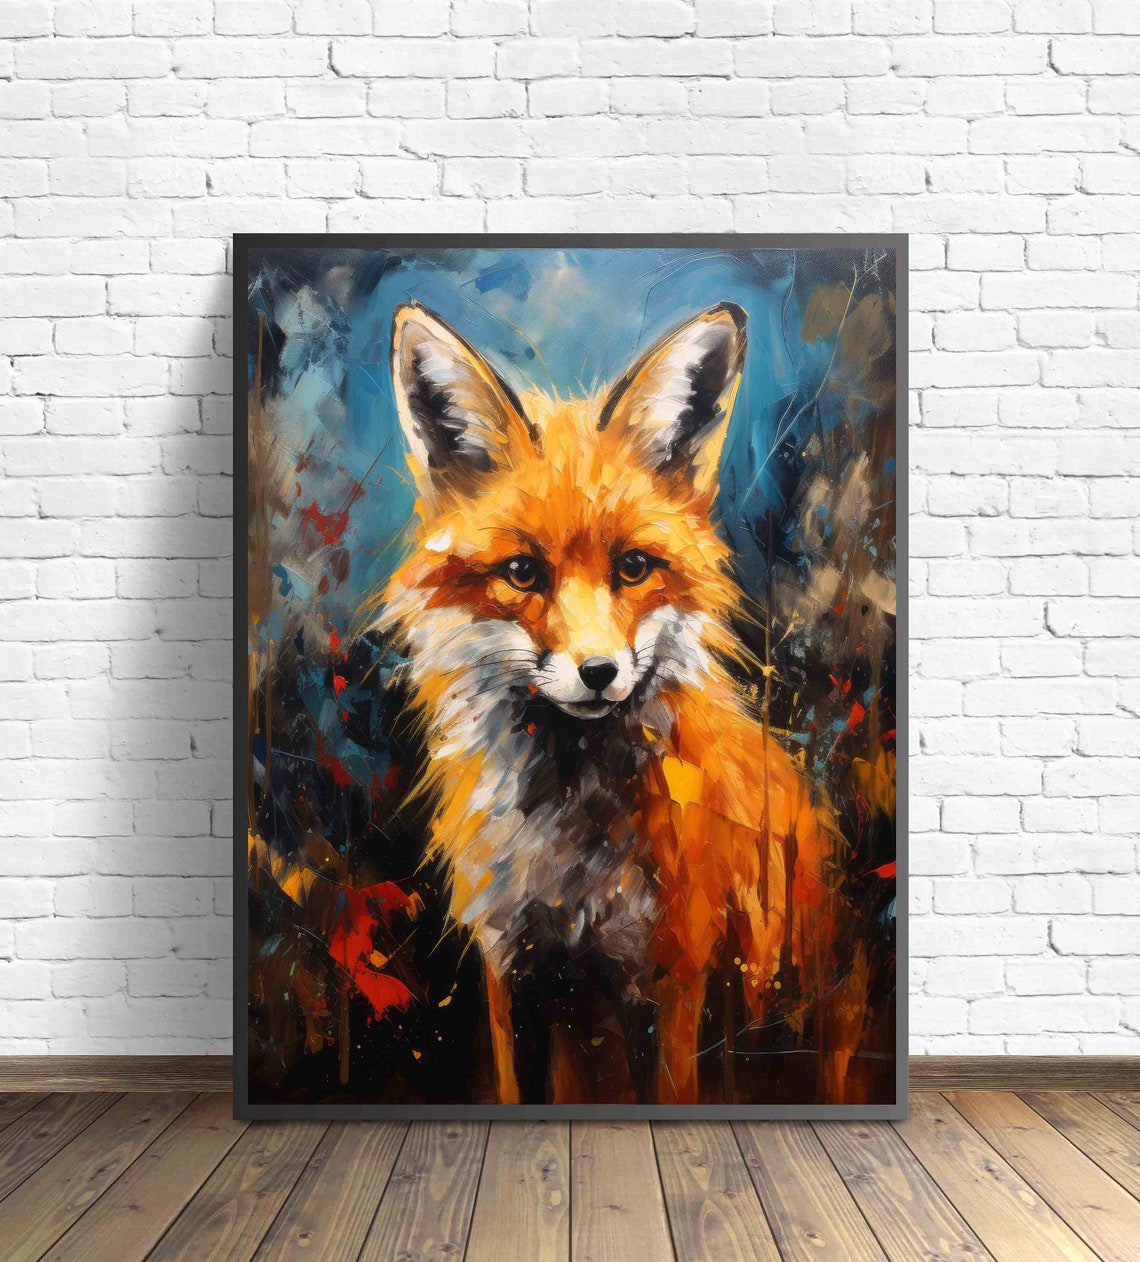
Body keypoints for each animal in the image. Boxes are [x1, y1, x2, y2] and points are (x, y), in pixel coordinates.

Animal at [373, 298, 866, 1105]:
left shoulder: (674, 977)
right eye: (522, 572)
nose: (598, 672)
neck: (568, 853)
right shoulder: (512, 971)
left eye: (633, 567)